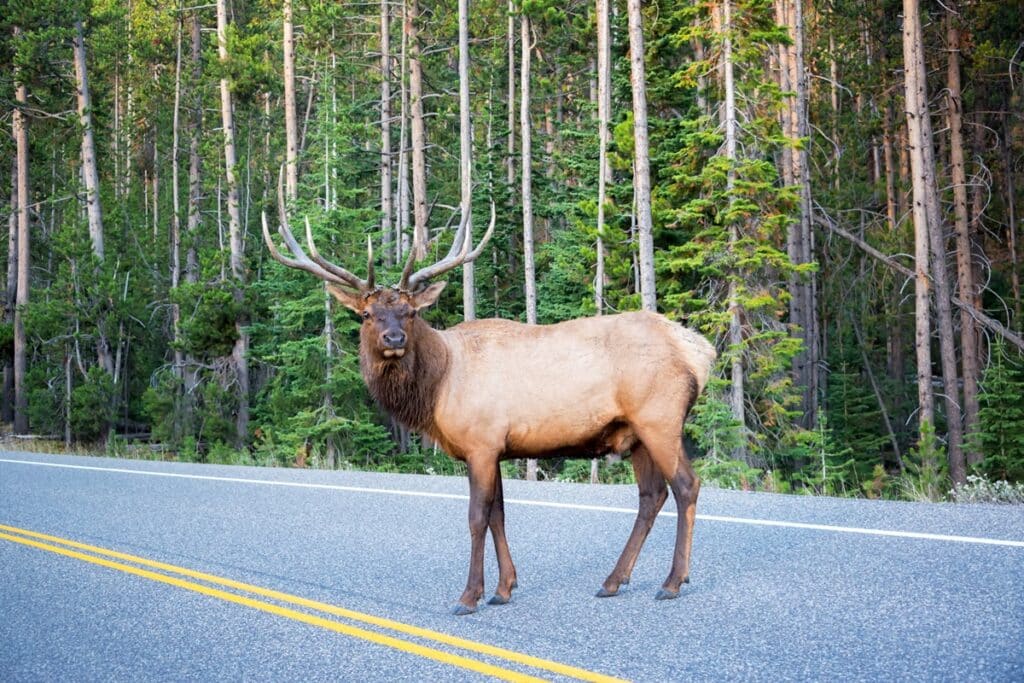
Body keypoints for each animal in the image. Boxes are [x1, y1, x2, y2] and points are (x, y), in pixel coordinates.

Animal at [260, 196, 716, 614]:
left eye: (410, 312)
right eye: (368, 314)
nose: (394, 339)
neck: (437, 386)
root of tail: (700, 351)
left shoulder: (480, 444)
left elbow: (477, 517)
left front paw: (468, 596)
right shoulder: (494, 447)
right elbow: (499, 514)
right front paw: (503, 589)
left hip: (659, 418)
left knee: (685, 486)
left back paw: (672, 582)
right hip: (633, 433)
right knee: (651, 495)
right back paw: (613, 580)